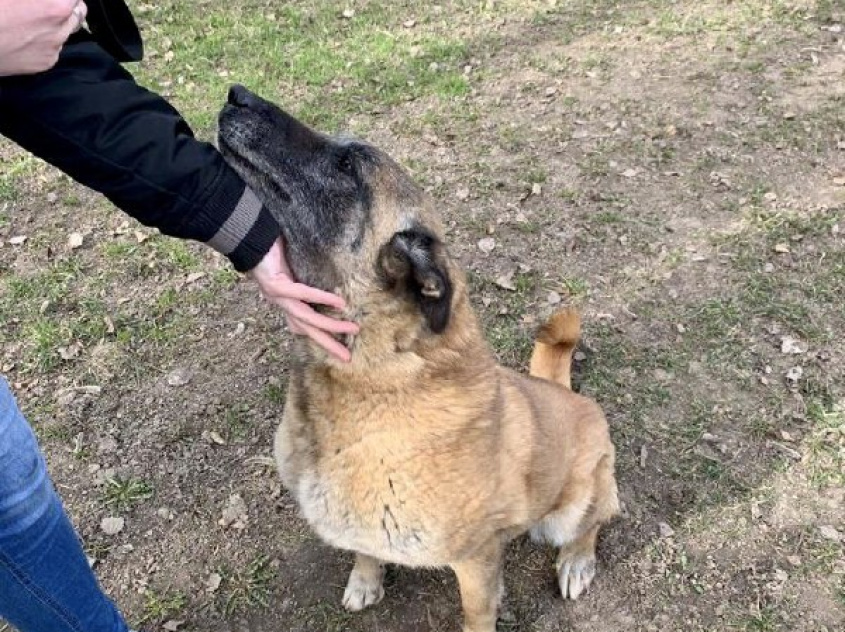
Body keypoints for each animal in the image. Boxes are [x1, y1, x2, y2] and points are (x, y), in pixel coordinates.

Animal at [218, 85, 620, 632]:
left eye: (347, 165)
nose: (237, 94)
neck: (375, 376)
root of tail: (568, 394)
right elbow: (363, 549)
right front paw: (366, 580)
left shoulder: (476, 560)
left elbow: (477, 614)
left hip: (576, 504)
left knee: (592, 525)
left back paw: (577, 562)